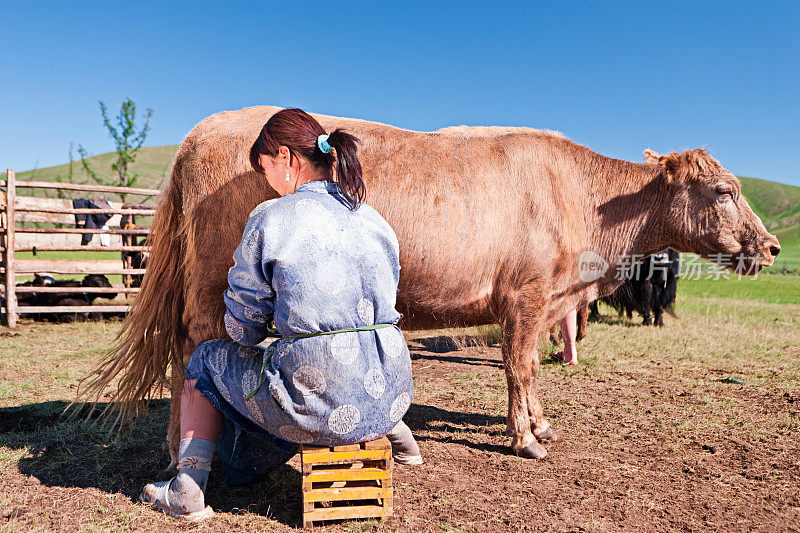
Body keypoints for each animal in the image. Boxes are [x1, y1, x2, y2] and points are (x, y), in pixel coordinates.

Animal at [83, 105, 780, 462]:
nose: (772, 246)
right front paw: (527, 438)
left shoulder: (539, 304)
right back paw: (185, 451)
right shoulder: (524, 297)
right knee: (190, 352)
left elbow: (529, 367)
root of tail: (198, 132)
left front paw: (540, 425)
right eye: (724, 191)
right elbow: (521, 367)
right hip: (208, 288)